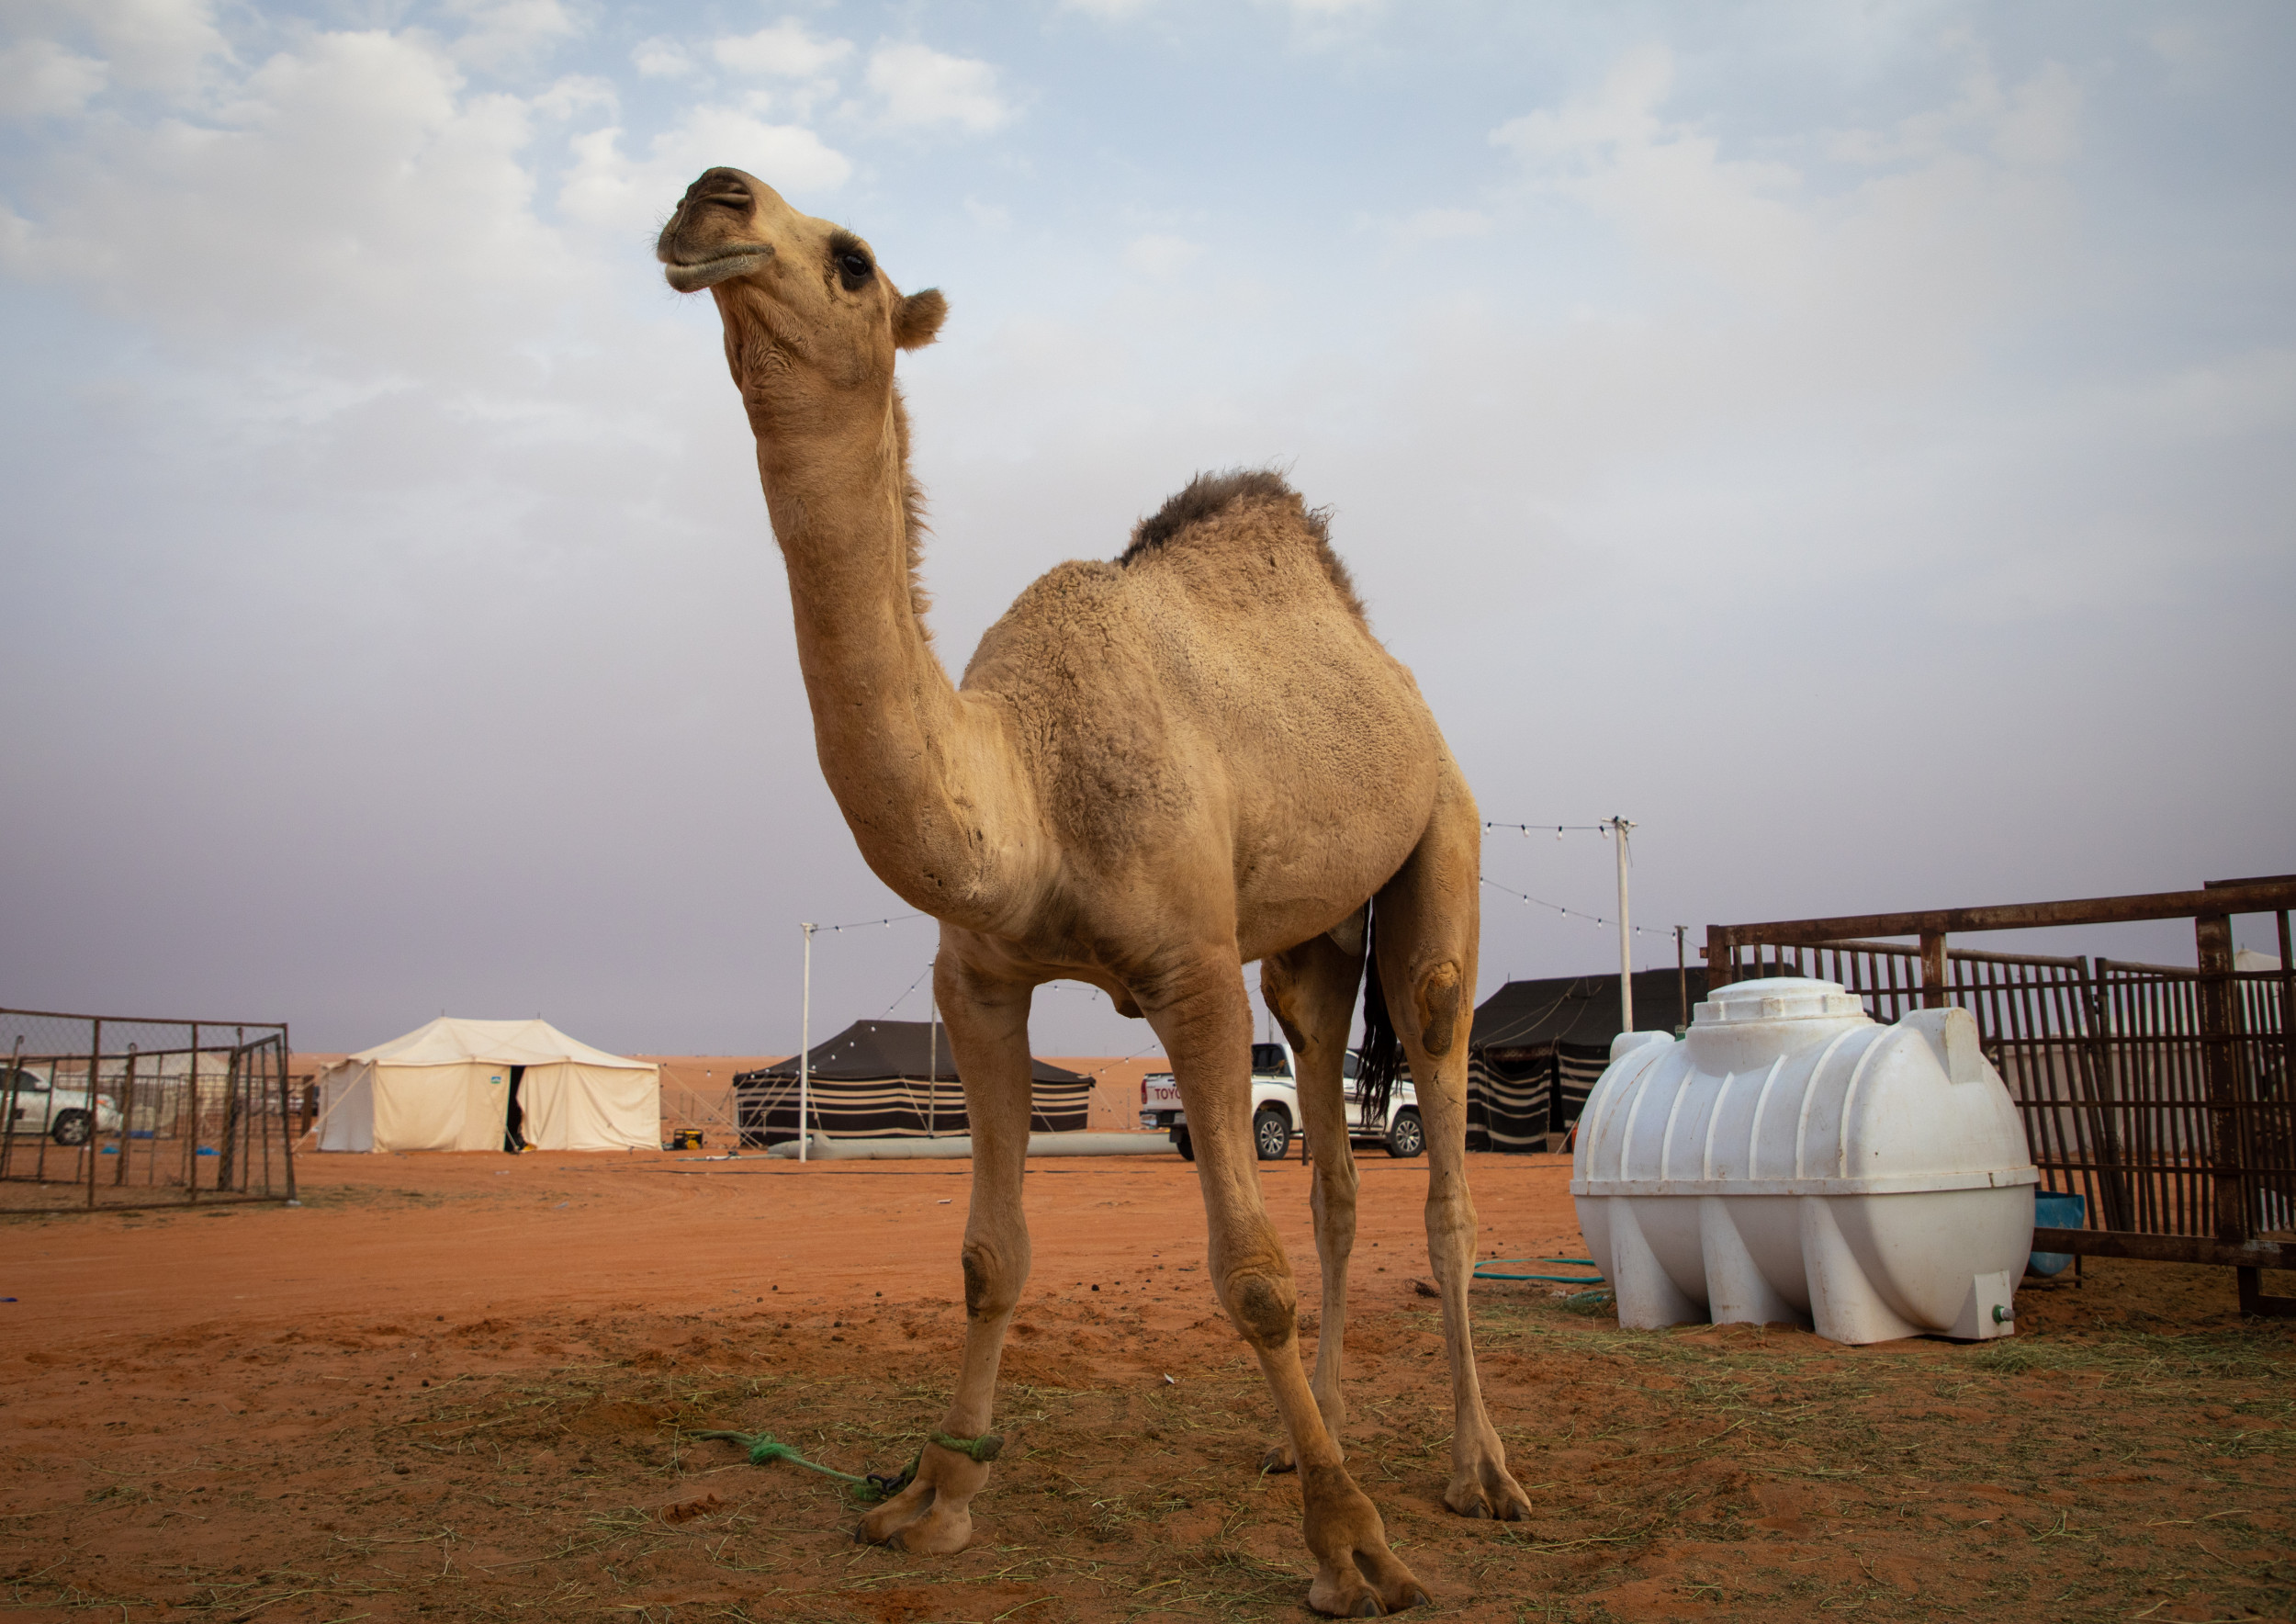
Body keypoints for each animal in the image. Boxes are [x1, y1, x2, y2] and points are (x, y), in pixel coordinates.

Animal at [657, 166, 1532, 1616]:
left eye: (853, 259)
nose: (709, 197)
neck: (1027, 786)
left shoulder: (1190, 973)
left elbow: (1248, 1274)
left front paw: (1354, 1549)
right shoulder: (980, 980)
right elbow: (987, 1256)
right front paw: (934, 1501)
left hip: (1441, 846)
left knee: (1443, 1142)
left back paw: (1479, 1475)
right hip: (1304, 947)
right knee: (1336, 1165)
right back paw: (1310, 1444)